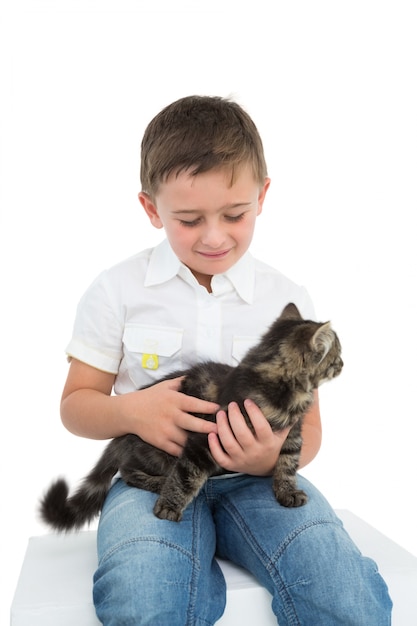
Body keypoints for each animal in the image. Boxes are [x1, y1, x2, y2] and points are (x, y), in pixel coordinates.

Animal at [40, 302, 342, 528]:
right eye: (336, 353)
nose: (343, 364)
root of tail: (122, 437)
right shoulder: (205, 439)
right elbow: (187, 475)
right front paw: (169, 507)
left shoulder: (292, 435)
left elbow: (287, 465)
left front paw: (288, 492)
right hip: (156, 452)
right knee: (127, 472)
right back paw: (159, 483)